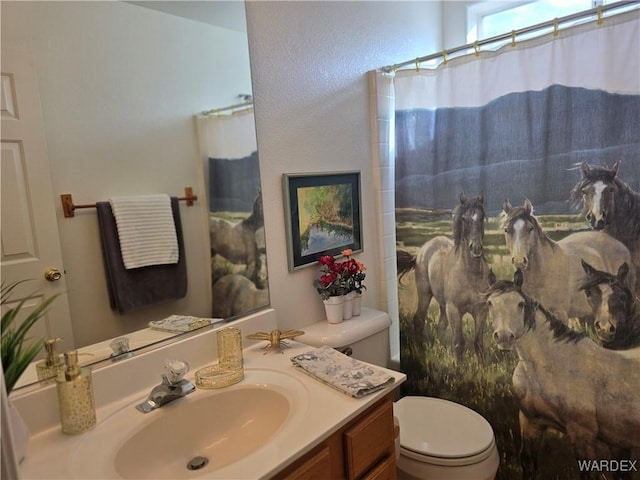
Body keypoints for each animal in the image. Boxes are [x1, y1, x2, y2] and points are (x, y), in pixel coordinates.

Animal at [396, 193, 490, 362]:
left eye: (481, 218)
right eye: (464, 218)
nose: (476, 248)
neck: (470, 275)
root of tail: (421, 252)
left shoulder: (481, 311)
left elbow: (478, 343)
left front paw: (482, 367)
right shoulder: (454, 310)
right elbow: (459, 342)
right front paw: (459, 367)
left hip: (442, 303)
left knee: (441, 324)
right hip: (425, 295)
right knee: (419, 319)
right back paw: (419, 351)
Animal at [484, 270, 640, 480]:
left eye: (520, 304)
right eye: (490, 303)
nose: (503, 337)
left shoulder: (582, 433)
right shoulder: (530, 423)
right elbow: (528, 464)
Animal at [500, 197, 632, 324]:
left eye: (530, 228)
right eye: (506, 230)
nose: (519, 261)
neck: (543, 273)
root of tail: (620, 245)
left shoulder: (560, 314)